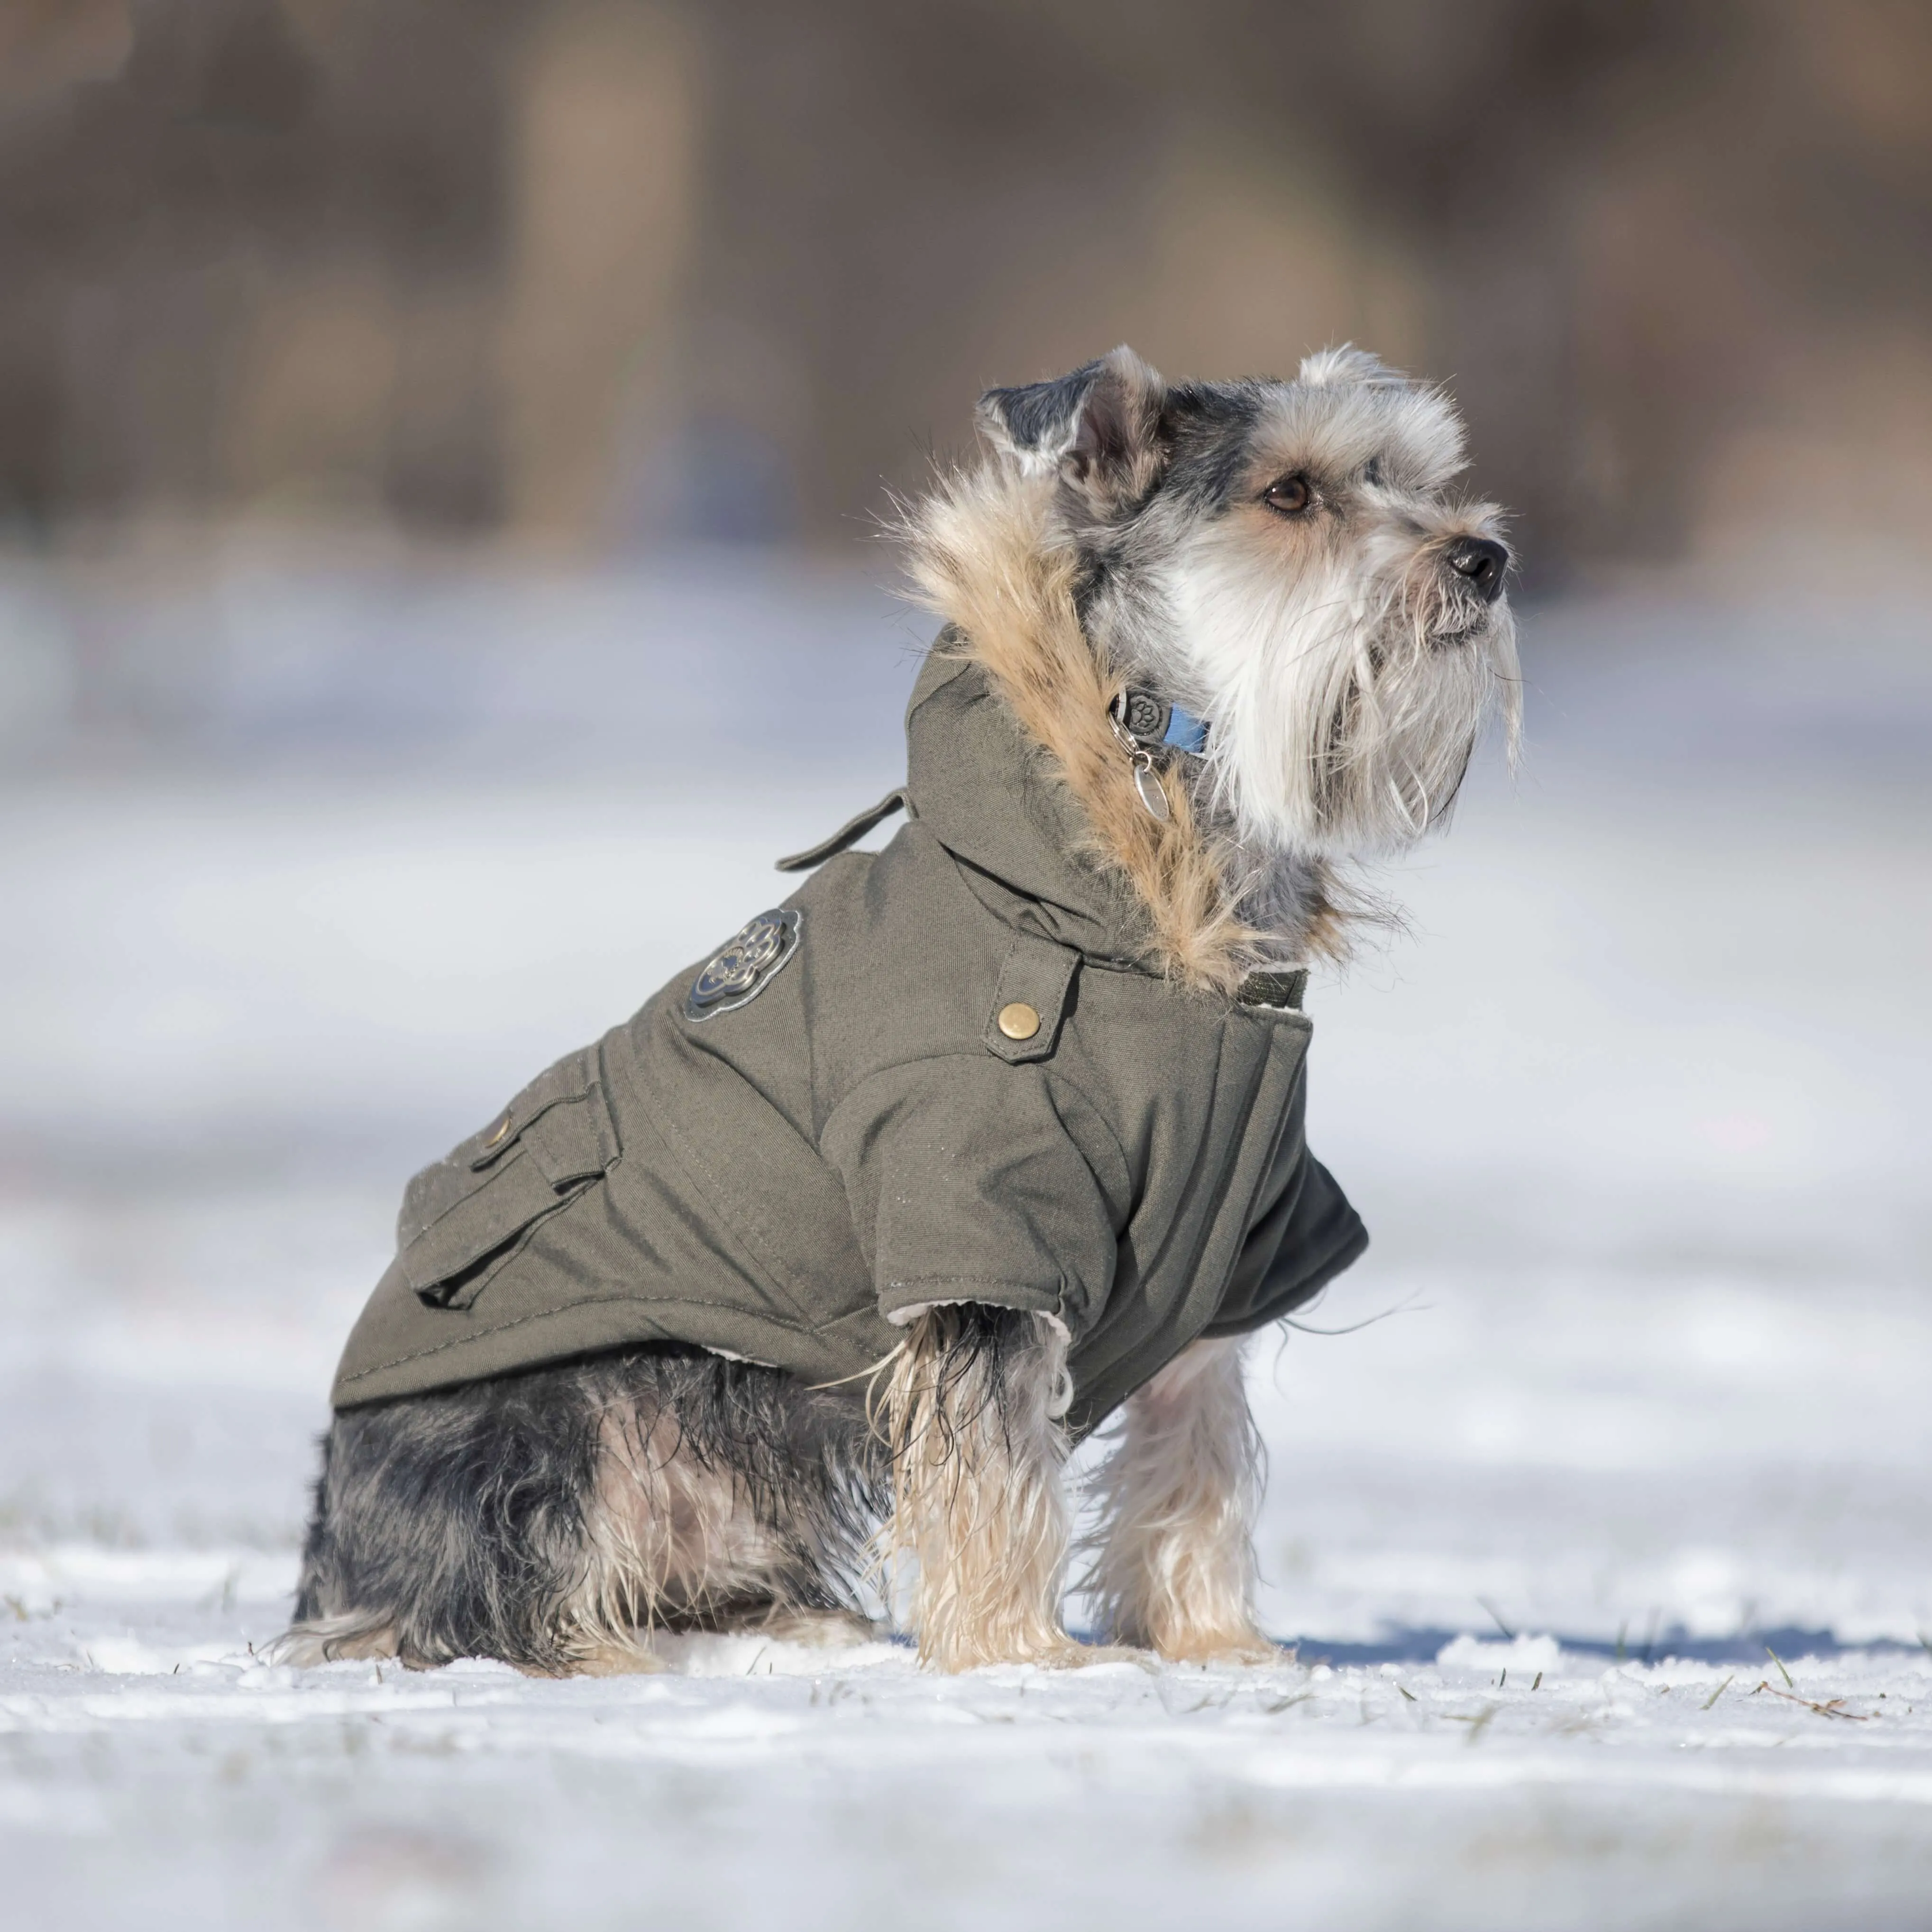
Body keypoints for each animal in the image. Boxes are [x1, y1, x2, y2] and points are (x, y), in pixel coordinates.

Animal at [290, 348, 1522, 1677]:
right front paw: (1021, 1657)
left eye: (1417, 477)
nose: (1482, 558)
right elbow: (1002, 1476)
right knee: (477, 1597)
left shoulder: (1234, 1242)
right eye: (1291, 494)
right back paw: (597, 1649)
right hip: (569, 1422)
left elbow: (1192, 1463)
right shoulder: (978, 1220)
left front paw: (1211, 1647)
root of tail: (329, 1551)